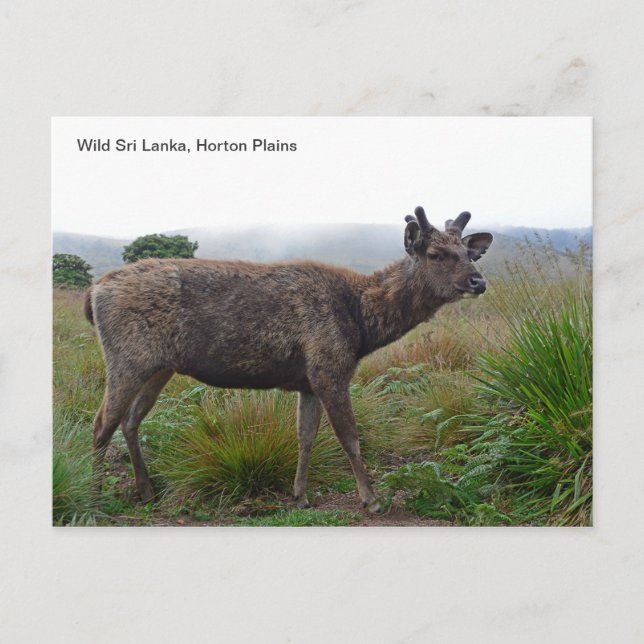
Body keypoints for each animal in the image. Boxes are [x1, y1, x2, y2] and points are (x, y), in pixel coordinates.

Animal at [85, 206, 493, 512]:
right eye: (435, 254)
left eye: (468, 253)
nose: (479, 282)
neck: (362, 328)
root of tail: (93, 292)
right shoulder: (329, 366)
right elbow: (350, 437)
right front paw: (371, 499)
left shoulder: (307, 381)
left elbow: (305, 436)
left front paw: (300, 495)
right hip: (127, 357)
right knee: (102, 423)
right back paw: (95, 499)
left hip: (159, 367)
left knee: (130, 421)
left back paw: (146, 491)